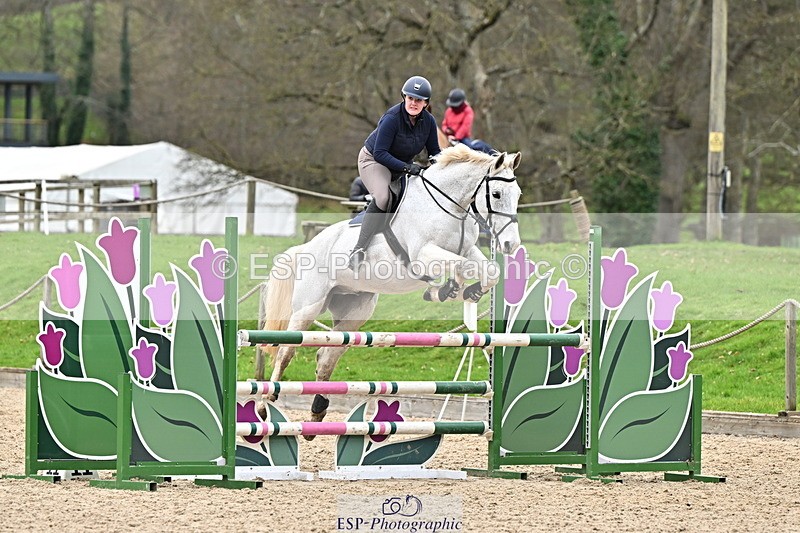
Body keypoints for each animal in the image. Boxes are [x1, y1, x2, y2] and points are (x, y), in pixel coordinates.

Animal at [259, 144, 522, 433]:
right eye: (496, 194)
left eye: (518, 194)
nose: (510, 245)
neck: (450, 207)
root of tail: (308, 245)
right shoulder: (423, 255)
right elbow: (462, 265)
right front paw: (447, 290)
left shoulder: (468, 249)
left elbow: (489, 271)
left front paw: (463, 291)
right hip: (308, 307)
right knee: (286, 351)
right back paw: (264, 404)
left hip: (355, 312)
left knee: (326, 356)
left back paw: (317, 413)